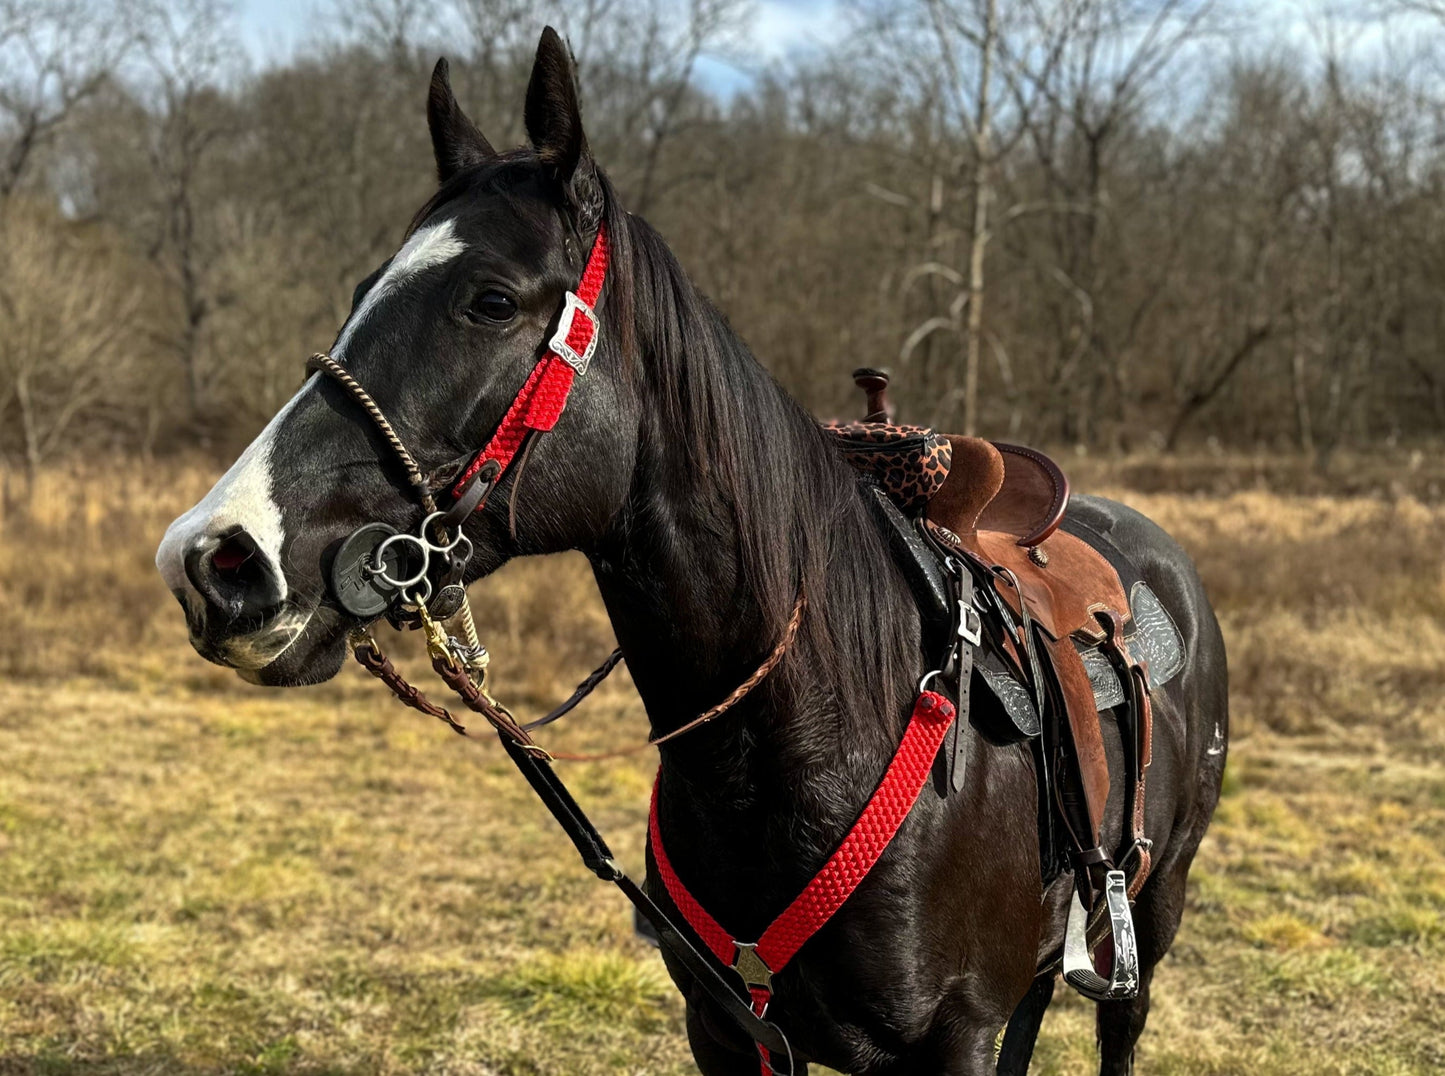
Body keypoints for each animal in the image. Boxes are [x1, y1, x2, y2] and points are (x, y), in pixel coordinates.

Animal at [158, 29, 1225, 1068]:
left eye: (491, 301)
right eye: (359, 293)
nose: (213, 559)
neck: (812, 729)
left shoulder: (953, 1037)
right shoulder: (724, 1029)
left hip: (1152, 915)